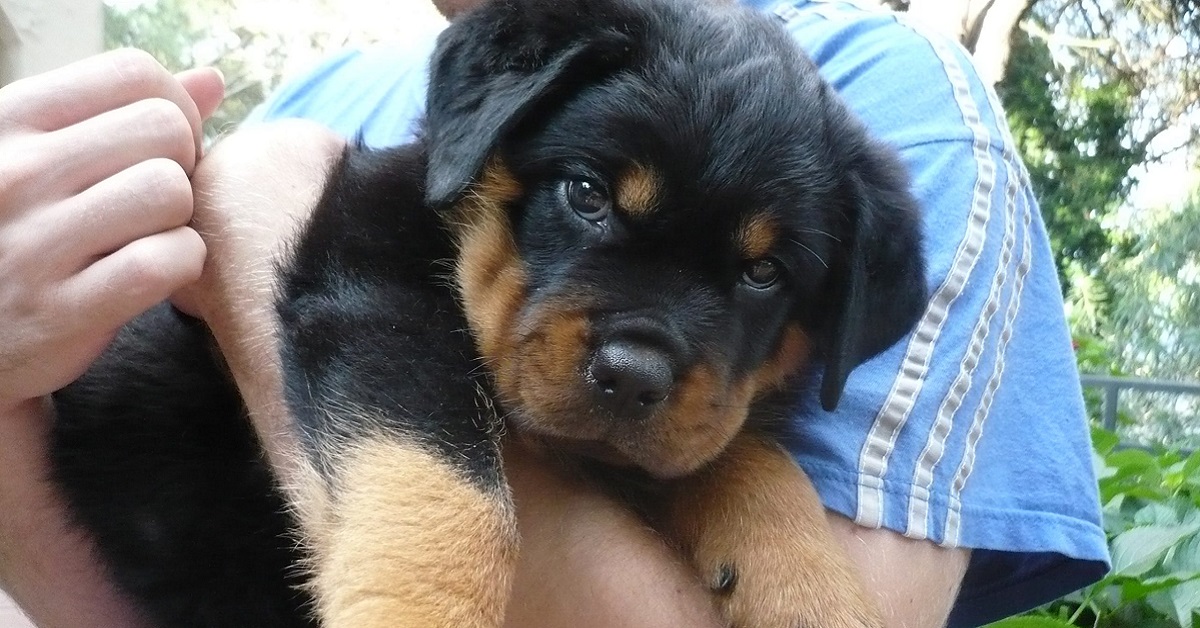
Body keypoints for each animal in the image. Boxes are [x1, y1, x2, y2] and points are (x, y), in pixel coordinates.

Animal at [49, 1, 926, 628]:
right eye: (586, 194)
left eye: (763, 273)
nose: (633, 378)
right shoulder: (367, 281)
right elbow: (447, 490)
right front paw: (418, 609)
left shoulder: (689, 413)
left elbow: (746, 451)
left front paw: (811, 590)